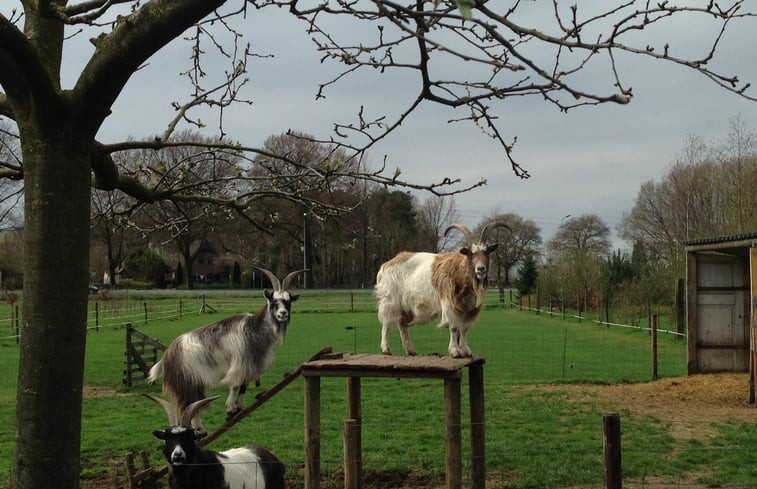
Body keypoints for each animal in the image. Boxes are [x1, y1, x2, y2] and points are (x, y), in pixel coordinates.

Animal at [148, 264, 304, 428]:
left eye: (288, 302)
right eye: (273, 301)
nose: (282, 314)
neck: (254, 329)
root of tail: (168, 354)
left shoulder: (250, 366)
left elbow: (244, 386)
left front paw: (239, 407)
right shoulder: (239, 363)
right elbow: (235, 385)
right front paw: (230, 410)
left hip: (195, 383)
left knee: (193, 405)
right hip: (185, 384)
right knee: (188, 406)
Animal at [374, 221, 508, 354]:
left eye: (486, 252)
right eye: (470, 254)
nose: (481, 269)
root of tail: (386, 264)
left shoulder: (469, 308)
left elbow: (464, 329)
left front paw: (466, 350)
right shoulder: (449, 304)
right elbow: (454, 327)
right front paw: (454, 351)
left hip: (406, 307)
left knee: (401, 324)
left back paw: (410, 350)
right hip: (390, 300)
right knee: (386, 322)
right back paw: (386, 349)